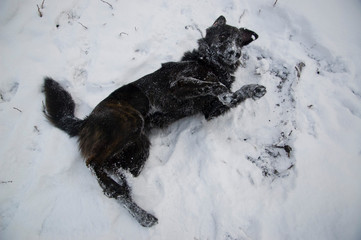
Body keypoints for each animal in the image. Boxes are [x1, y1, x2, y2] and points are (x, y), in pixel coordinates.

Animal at [43, 15, 266, 227]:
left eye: (238, 41)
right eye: (223, 36)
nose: (235, 53)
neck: (208, 63)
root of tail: (86, 121)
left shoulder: (211, 110)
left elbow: (235, 94)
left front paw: (253, 89)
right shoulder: (179, 84)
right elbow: (214, 85)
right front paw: (224, 90)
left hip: (138, 151)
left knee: (117, 181)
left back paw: (136, 205)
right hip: (132, 122)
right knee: (92, 163)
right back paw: (120, 191)